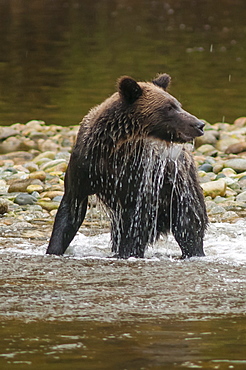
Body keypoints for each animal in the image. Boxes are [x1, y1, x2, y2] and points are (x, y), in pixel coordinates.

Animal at [46, 73, 208, 258]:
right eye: (169, 107)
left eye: (177, 105)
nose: (199, 124)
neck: (114, 149)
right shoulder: (85, 169)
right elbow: (70, 213)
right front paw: (54, 250)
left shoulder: (138, 178)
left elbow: (135, 225)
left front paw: (127, 253)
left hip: (179, 191)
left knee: (188, 226)